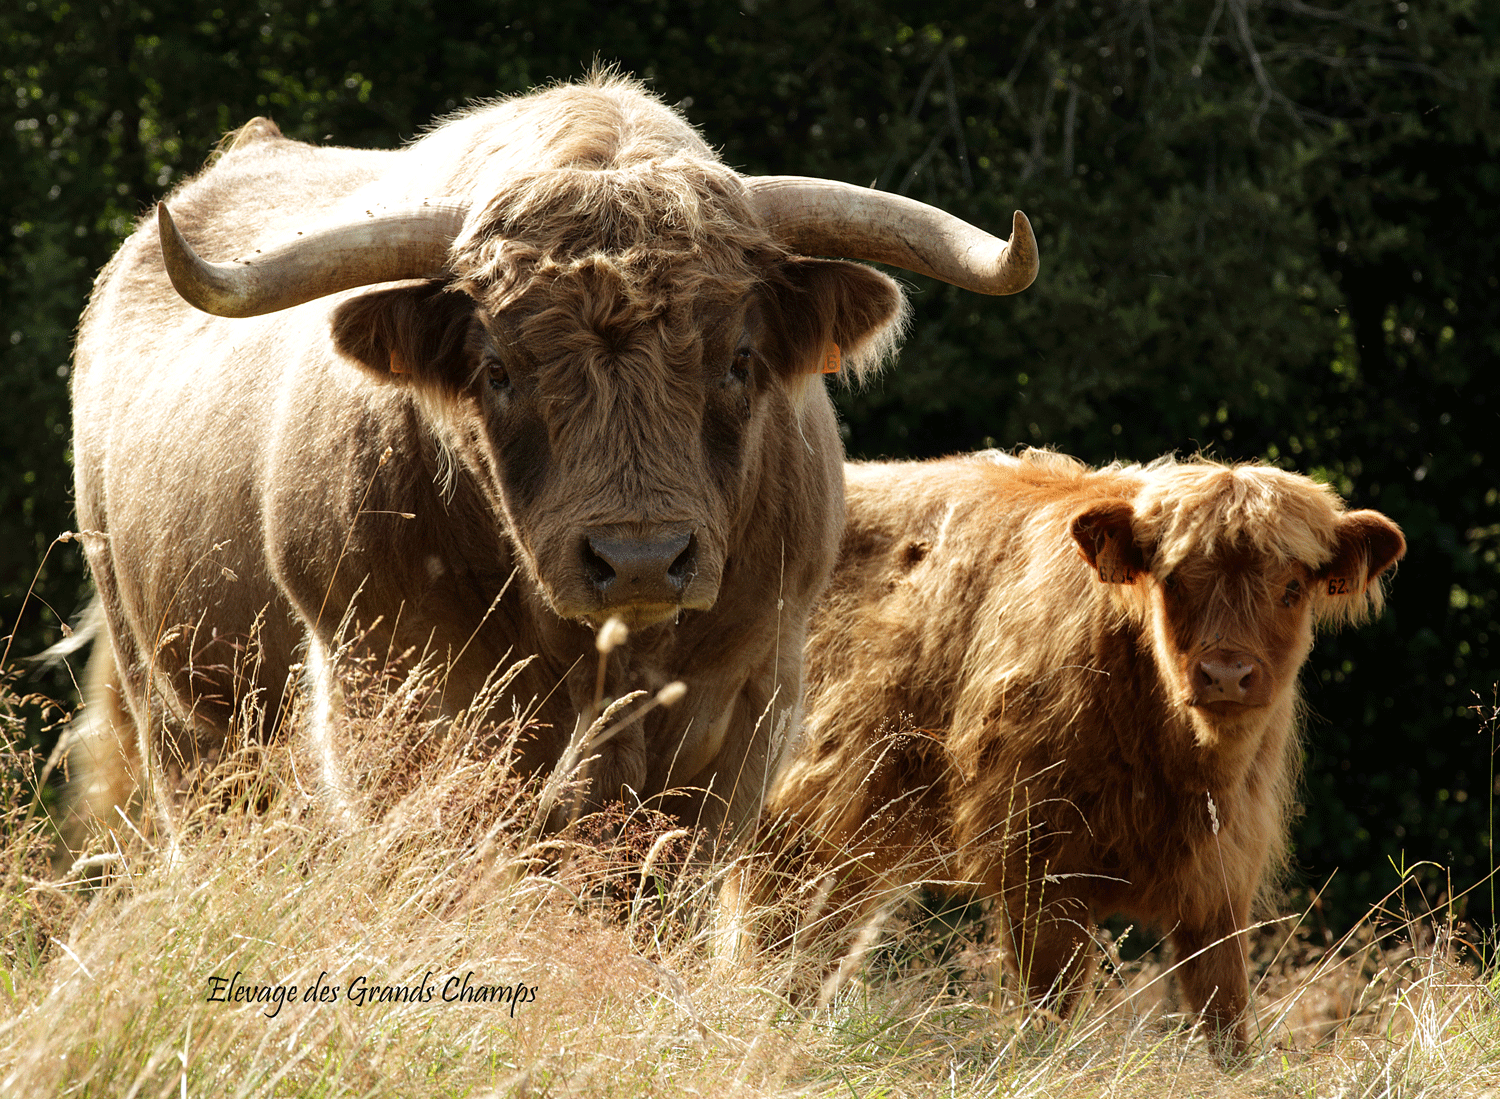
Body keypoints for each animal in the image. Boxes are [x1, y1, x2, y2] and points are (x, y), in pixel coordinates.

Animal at [61, 74, 1044, 839]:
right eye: (497, 369)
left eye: (740, 359)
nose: (640, 558)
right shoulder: (390, 693)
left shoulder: (749, 703)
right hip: (175, 712)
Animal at [738, 446, 1404, 1055]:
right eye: (1174, 581)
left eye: (1291, 588)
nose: (1226, 675)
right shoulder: (1040, 868)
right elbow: (1049, 1015)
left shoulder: (1220, 884)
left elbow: (1228, 1023)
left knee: (810, 944)